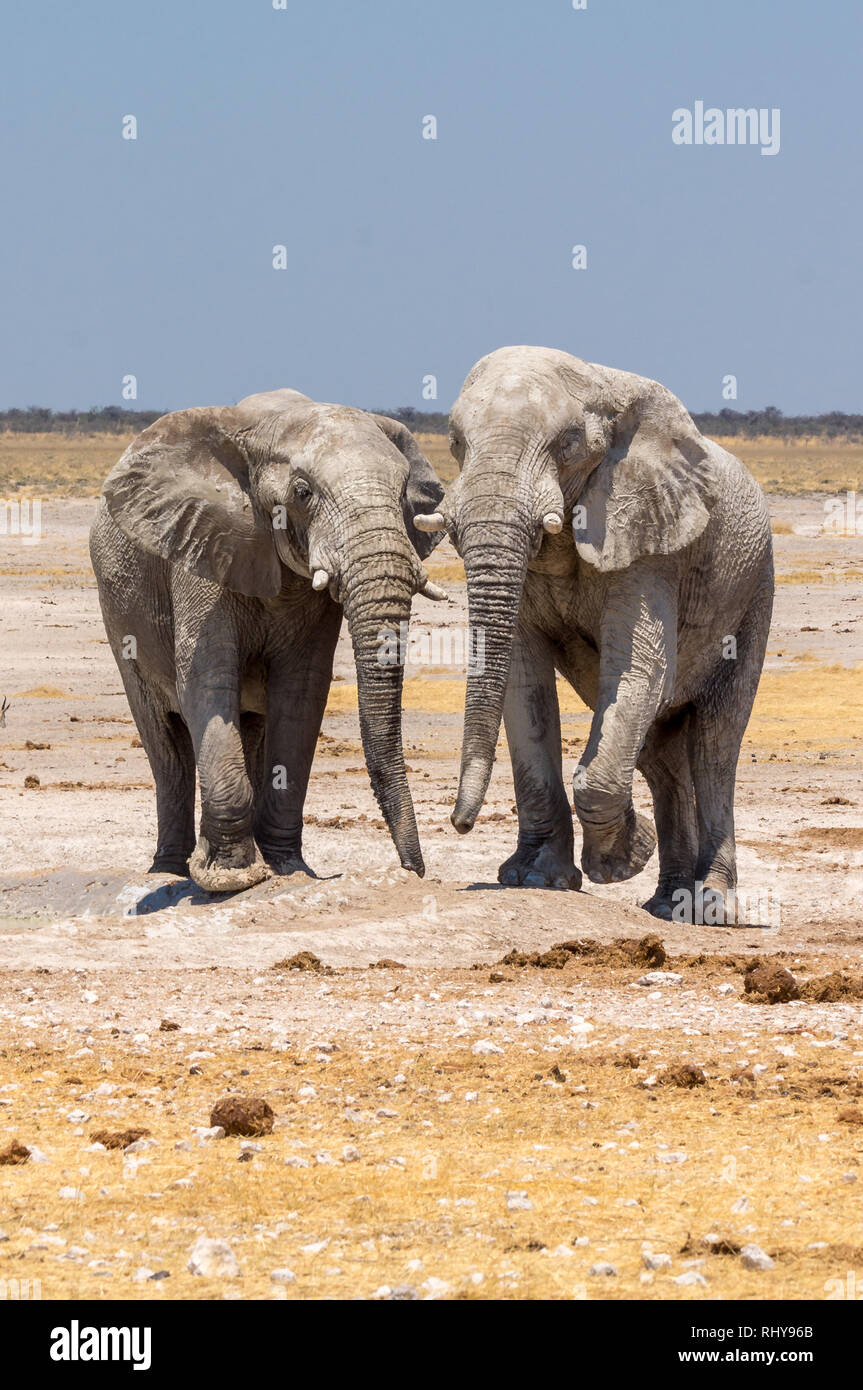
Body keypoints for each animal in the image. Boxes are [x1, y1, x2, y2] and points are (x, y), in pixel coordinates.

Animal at [89, 388, 445, 892]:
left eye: (402, 494)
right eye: (302, 493)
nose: (413, 871)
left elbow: (300, 696)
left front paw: (287, 870)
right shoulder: (204, 546)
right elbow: (206, 682)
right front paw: (231, 878)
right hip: (118, 616)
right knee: (166, 745)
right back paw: (170, 870)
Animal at [415, 346, 774, 923]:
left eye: (567, 444)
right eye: (454, 443)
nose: (459, 823)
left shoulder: (649, 540)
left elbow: (638, 670)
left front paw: (620, 862)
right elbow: (524, 682)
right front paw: (536, 879)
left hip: (754, 592)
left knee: (715, 745)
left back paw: (710, 906)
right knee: (661, 756)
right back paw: (666, 904)